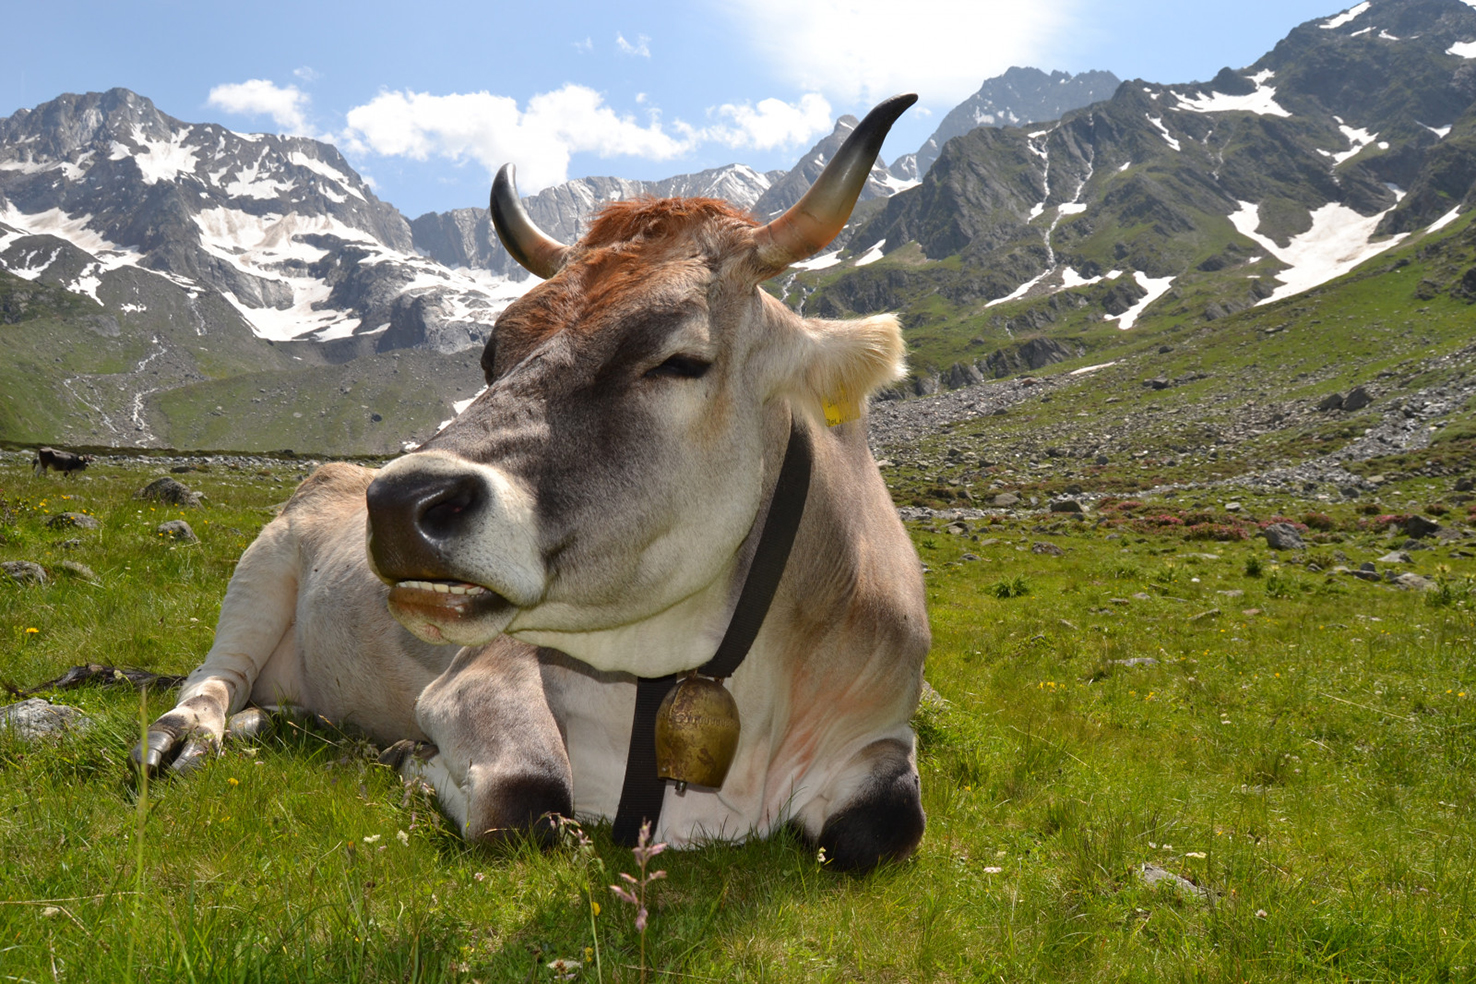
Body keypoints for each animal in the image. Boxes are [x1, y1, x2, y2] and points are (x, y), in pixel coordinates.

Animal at [135, 95, 921, 873]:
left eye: (680, 360)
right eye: (492, 356)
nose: (396, 504)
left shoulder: (881, 730)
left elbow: (884, 828)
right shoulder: (481, 673)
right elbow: (526, 797)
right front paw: (406, 759)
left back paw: (277, 721)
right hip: (258, 577)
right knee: (214, 677)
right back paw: (187, 736)